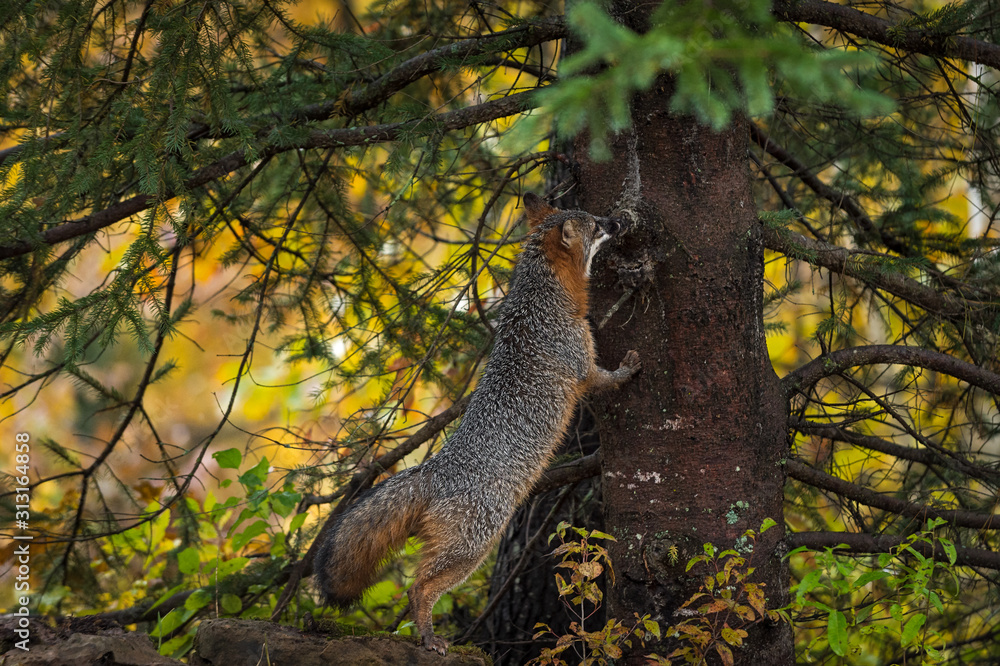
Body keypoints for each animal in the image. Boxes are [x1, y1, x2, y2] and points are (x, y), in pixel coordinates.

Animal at [313, 193, 641, 654]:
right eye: (595, 225)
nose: (617, 220)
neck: (539, 307)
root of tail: (436, 467)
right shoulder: (582, 367)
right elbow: (607, 379)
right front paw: (629, 369)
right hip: (475, 545)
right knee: (419, 587)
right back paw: (429, 637)